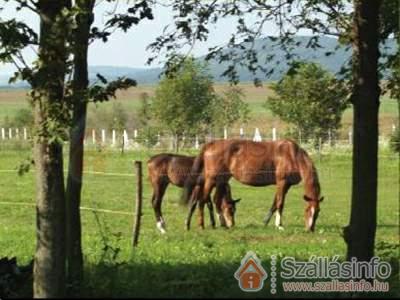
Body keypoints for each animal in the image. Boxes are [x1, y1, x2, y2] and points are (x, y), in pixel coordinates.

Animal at [183, 139, 324, 232]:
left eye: (318, 212)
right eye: (308, 210)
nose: (310, 229)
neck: (292, 155)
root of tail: (211, 144)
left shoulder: (286, 185)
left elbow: (274, 203)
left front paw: (266, 222)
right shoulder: (282, 182)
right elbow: (280, 204)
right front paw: (279, 225)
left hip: (221, 180)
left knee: (216, 200)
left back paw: (223, 224)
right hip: (212, 179)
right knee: (202, 200)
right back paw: (202, 225)